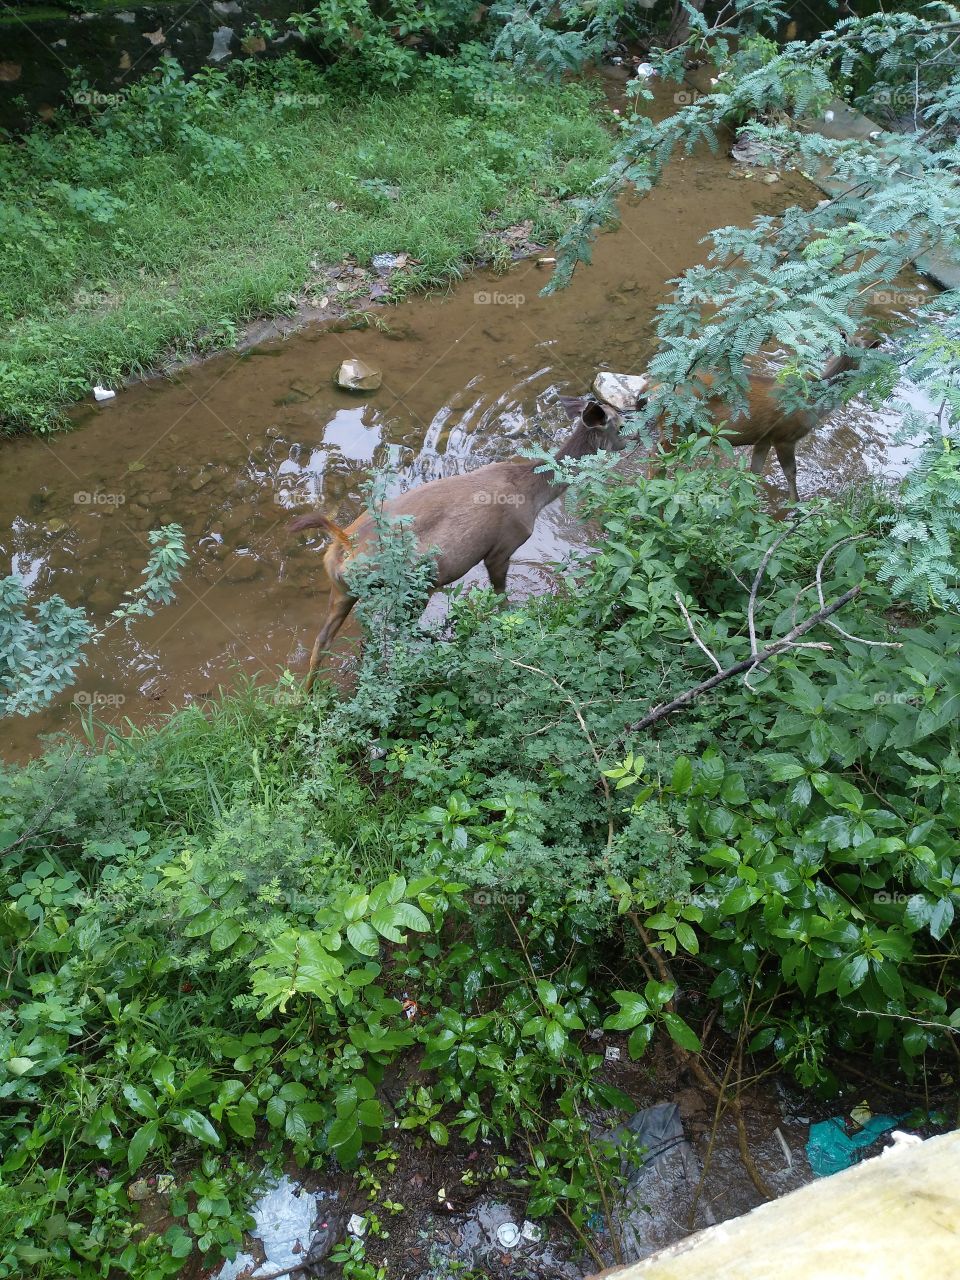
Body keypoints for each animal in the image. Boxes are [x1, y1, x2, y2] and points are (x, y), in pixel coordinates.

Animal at [290, 397, 625, 689]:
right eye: (620, 424)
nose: (629, 439)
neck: (533, 493)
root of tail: (343, 543)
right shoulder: (503, 546)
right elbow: (502, 598)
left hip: (343, 589)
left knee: (325, 639)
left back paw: (306, 696)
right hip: (414, 579)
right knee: (391, 631)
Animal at [629, 339, 881, 502]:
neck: (813, 404)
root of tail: (654, 386)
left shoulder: (764, 438)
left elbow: (754, 472)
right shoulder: (784, 436)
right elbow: (791, 472)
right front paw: (795, 505)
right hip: (676, 427)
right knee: (656, 458)